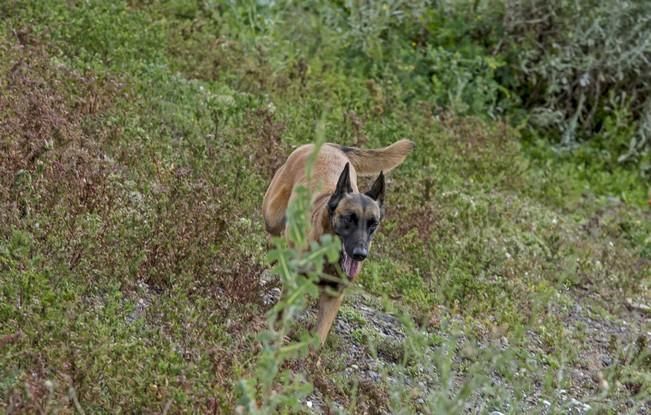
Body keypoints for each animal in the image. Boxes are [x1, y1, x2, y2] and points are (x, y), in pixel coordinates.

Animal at [264, 139, 412, 344]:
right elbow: (282, 319)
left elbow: (318, 339)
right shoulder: (296, 285)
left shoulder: (333, 298)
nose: (360, 254)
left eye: (373, 224)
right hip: (272, 217)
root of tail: (331, 146)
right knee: (273, 236)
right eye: (349, 218)